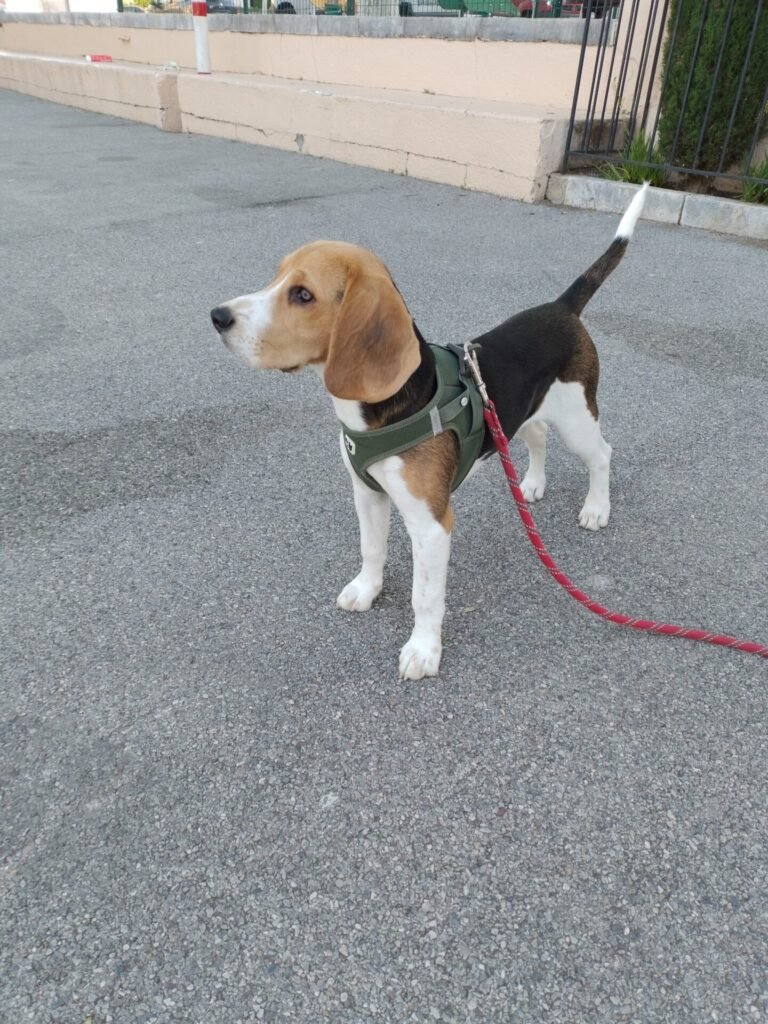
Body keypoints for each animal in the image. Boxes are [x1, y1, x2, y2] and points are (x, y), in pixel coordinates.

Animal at [210, 186, 651, 679]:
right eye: (276, 276)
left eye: (303, 295)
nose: (217, 316)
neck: (384, 411)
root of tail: (562, 307)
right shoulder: (367, 492)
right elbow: (371, 548)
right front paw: (367, 590)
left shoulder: (431, 525)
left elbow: (424, 596)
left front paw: (423, 650)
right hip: (521, 414)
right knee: (537, 437)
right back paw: (533, 484)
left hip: (577, 418)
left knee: (602, 454)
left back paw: (596, 508)